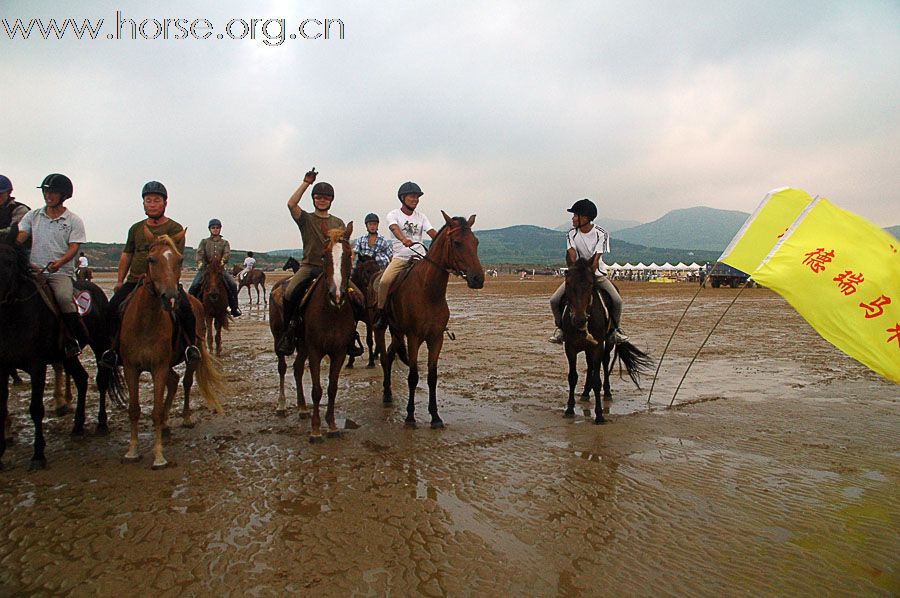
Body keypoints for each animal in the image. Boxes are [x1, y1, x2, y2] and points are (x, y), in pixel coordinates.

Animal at [0, 227, 90, 472]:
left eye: (9, 261)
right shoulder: (1, 366)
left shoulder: (37, 364)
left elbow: (36, 408)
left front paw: (38, 454)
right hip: (68, 357)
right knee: (81, 378)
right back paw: (77, 425)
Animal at [119, 227, 227, 472]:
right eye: (151, 259)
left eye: (179, 260)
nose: (170, 297)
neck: (146, 323)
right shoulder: (131, 367)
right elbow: (134, 408)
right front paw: (132, 451)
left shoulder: (159, 366)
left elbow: (157, 411)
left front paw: (159, 456)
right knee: (174, 380)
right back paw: (169, 423)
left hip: (191, 356)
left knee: (184, 382)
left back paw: (185, 417)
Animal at [372, 213, 486, 428]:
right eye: (457, 242)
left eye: (476, 242)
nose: (478, 279)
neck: (428, 292)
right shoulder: (414, 337)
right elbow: (413, 376)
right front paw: (410, 416)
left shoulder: (435, 338)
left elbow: (432, 377)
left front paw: (435, 416)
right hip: (382, 329)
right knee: (383, 357)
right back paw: (385, 394)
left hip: (397, 333)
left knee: (390, 356)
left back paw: (389, 394)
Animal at [564, 255, 652, 424]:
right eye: (568, 282)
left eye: (590, 284)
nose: (579, 319)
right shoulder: (570, 347)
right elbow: (572, 377)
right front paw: (570, 409)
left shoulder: (598, 346)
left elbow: (597, 380)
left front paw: (599, 415)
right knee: (590, 365)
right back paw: (585, 393)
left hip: (608, 342)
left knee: (604, 363)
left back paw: (607, 392)